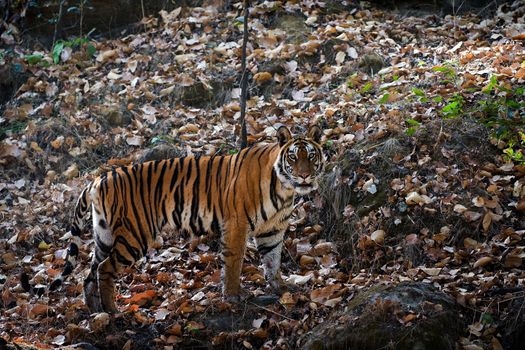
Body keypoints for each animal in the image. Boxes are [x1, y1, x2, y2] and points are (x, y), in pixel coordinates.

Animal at [47, 125, 324, 312]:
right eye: (293, 158)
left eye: (311, 156)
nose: (304, 176)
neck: (284, 190)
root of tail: (99, 178)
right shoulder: (237, 224)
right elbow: (234, 263)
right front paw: (233, 296)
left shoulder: (273, 229)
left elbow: (273, 259)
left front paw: (280, 287)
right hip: (135, 235)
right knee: (104, 268)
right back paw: (113, 312)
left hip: (103, 235)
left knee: (89, 272)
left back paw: (97, 312)